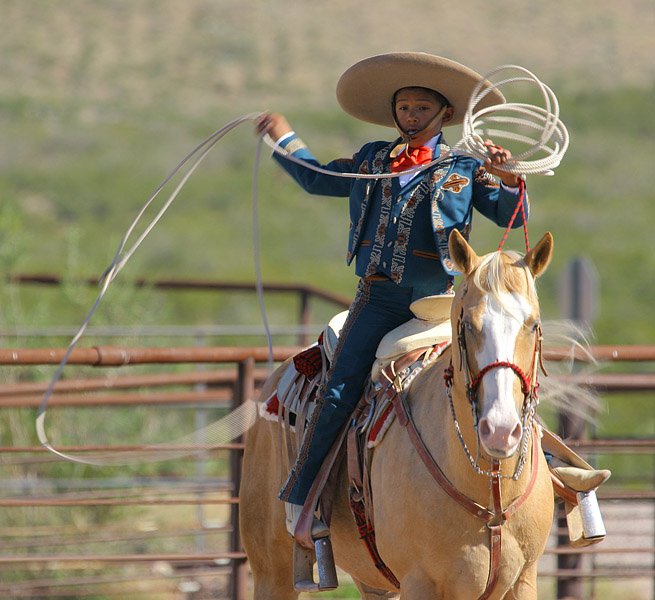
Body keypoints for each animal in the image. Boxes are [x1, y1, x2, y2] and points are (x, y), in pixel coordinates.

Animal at [241, 231, 560, 600]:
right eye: (467, 324)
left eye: (533, 324)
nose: (500, 429)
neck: (489, 495)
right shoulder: (419, 582)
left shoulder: (523, 580)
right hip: (271, 571)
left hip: (373, 582)